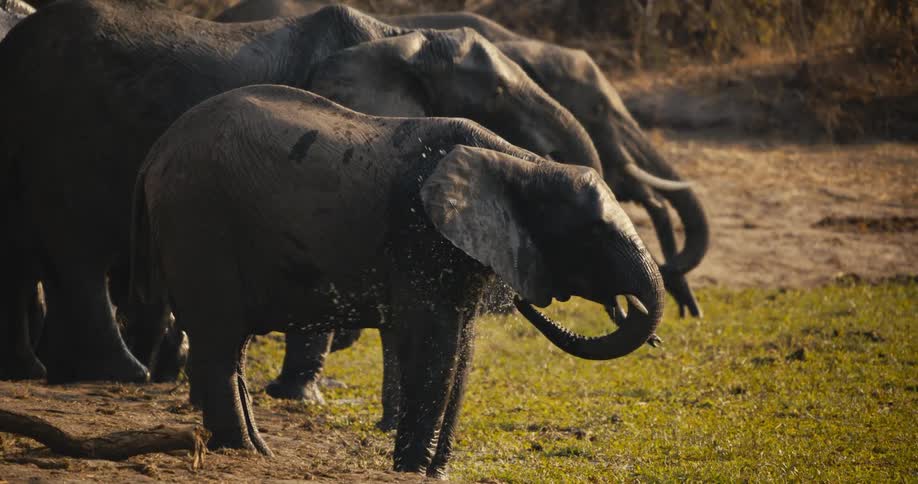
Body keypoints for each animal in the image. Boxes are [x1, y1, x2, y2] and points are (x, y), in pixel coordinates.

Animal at [0, 0, 598, 383]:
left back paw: (51, 372)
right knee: (75, 257)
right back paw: (125, 375)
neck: (400, 38)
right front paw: (298, 395)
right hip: (59, 135)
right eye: (496, 94)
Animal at [131, 84, 665, 476]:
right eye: (593, 233)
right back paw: (243, 451)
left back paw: (258, 451)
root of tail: (154, 152)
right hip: (198, 219)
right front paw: (411, 471)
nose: (629, 305)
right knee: (221, 342)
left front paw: (436, 473)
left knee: (229, 345)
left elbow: (462, 349)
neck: (519, 163)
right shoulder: (419, 233)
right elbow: (435, 347)